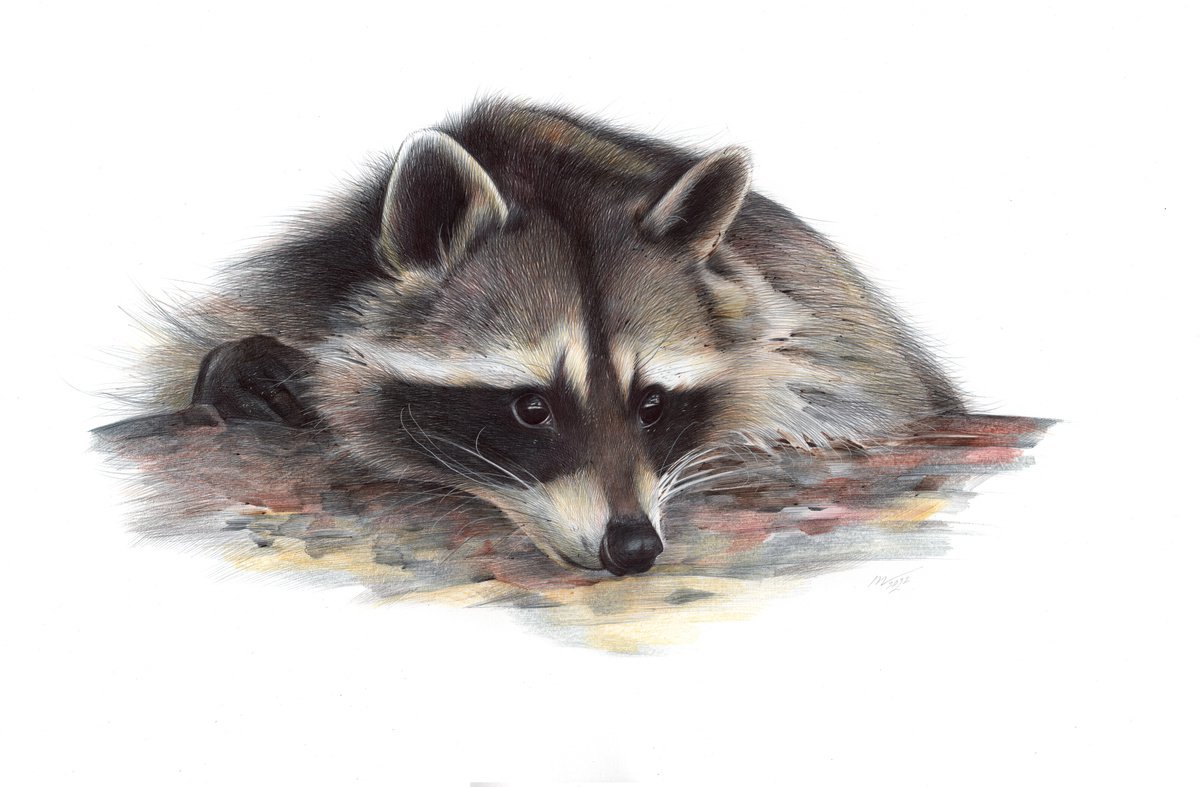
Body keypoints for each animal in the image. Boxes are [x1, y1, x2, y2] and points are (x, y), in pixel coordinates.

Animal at [144, 99, 961, 575]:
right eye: (531, 407)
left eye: (653, 403)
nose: (632, 548)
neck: (541, 176)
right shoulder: (297, 282)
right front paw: (241, 366)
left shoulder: (817, 319)